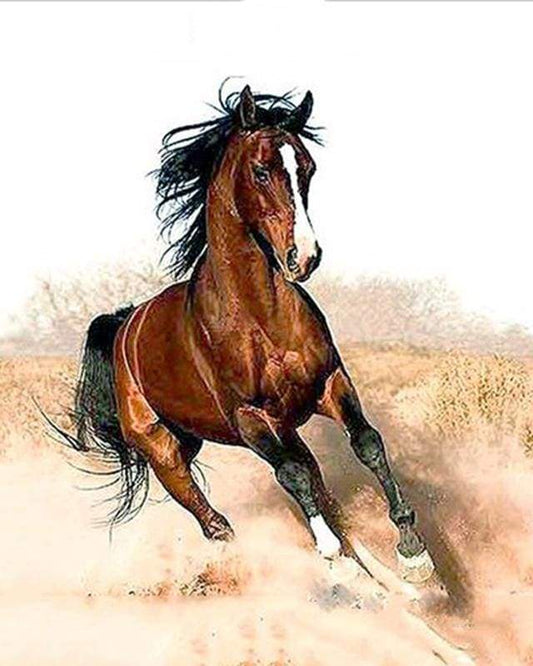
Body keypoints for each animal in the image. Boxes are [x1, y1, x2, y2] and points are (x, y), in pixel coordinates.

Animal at [58, 84, 435, 585]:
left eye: (307, 168)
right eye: (261, 171)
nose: (305, 257)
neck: (260, 317)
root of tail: (125, 326)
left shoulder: (329, 384)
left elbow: (367, 444)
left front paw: (413, 553)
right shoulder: (249, 417)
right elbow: (292, 475)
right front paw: (332, 553)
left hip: (267, 429)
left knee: (312, 479)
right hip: (165, 450)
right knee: (214, 520)